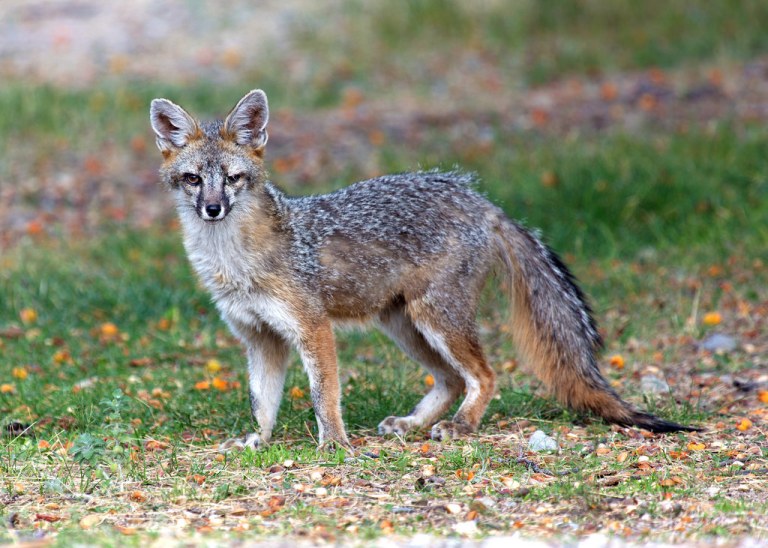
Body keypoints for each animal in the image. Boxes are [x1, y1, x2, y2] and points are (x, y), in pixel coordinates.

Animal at [149, 89, 696, 450]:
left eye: (233, 179)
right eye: (194, 179)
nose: (212, 209)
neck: (234, 261)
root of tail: (481, 200)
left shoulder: (312, 328)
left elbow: (325, 396)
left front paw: (335, 445)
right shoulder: (260, 338)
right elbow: (262, 401)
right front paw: (258, 440)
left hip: (436, 320)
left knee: (485, 375)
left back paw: (461, 425)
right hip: (404, 326)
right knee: (452, 380)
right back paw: (414, 425)